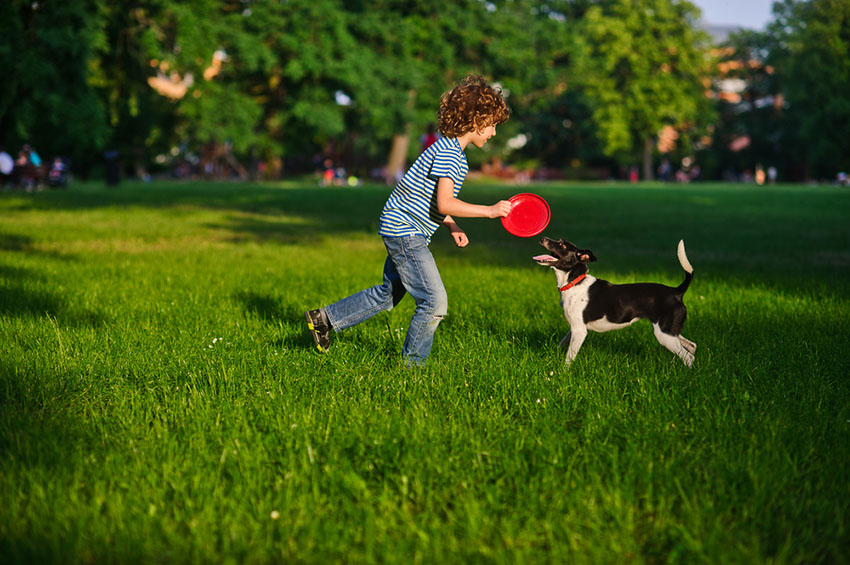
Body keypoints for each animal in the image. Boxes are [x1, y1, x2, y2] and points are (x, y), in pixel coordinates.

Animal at [528, 237, 696, 366]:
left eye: (562, 245)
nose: (542, 238)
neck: (574, 282)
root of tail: (676, 292)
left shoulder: (579, 330)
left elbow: (569, 357)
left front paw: (563, 372)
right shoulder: (574, 328)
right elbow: (562, 344)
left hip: (664, 334)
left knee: (688, 356)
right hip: (670, 331)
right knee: (692, 348)